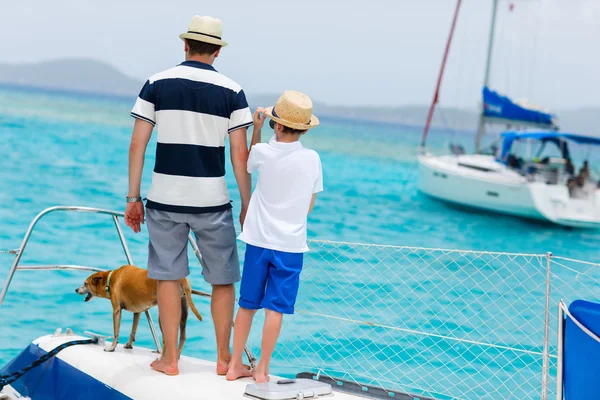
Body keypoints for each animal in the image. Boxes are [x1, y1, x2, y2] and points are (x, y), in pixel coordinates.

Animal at [74, 266, 202, 354]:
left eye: (85, 283)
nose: (76, 289)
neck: (110, 279)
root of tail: (182, 279)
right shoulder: (137, 312)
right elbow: (133, 330)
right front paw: (129, 345)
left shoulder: (116, 311)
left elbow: (116, 332)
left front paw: (112, 347)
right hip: (184, 312)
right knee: (183, 337)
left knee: (167, 340)